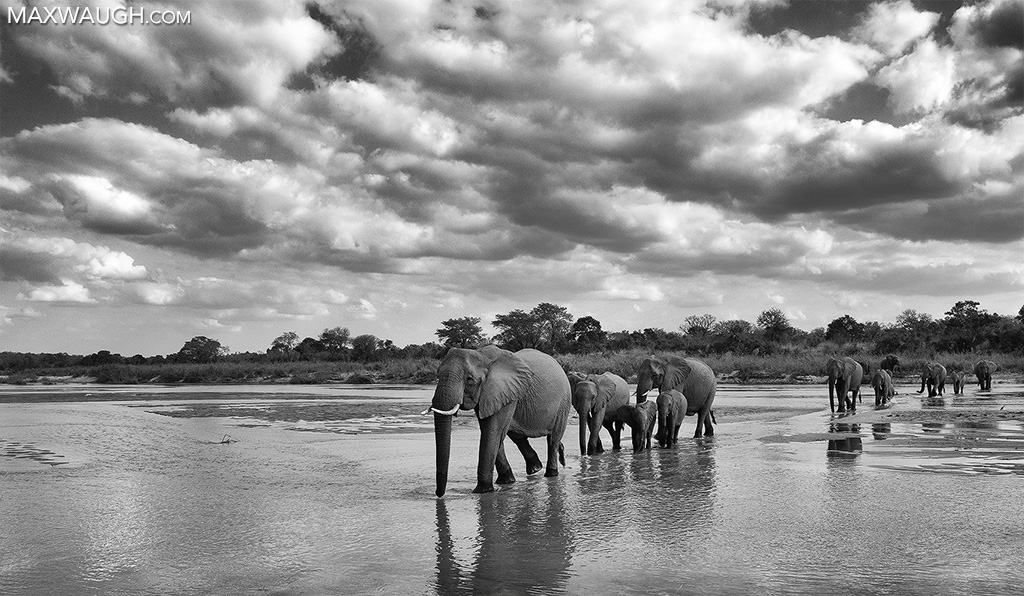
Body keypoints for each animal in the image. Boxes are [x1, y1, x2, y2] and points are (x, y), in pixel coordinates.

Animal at [427, 345, 570, 496]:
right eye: (437, 375)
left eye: (470, 380)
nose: (439, 494)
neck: (481, 355)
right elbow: (492, 432)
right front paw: (506, 482)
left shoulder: (507, 392)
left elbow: (492, 431)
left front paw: (482, 491)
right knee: (516, 435)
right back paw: (535, 468)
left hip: (564, 403)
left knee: (553, 438)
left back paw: (551, 473)